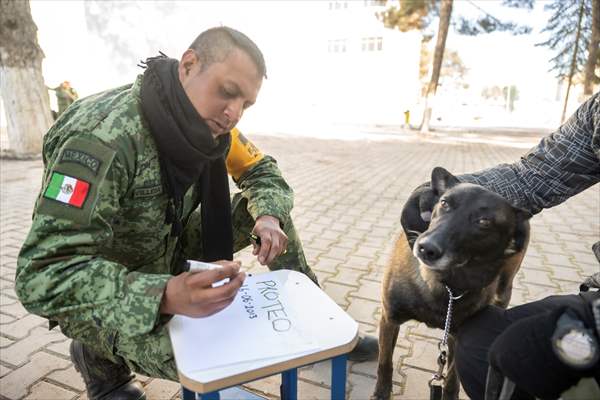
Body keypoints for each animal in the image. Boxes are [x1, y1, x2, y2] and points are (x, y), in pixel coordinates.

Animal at [372, 168, 532, 400]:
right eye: (444, 203)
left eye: (484, 221)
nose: (426, 248)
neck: (447, 285)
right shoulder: (389, 318)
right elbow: (385, 363)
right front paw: (381, 393)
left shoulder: (459, 337)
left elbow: (452, 377)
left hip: (503, 291)